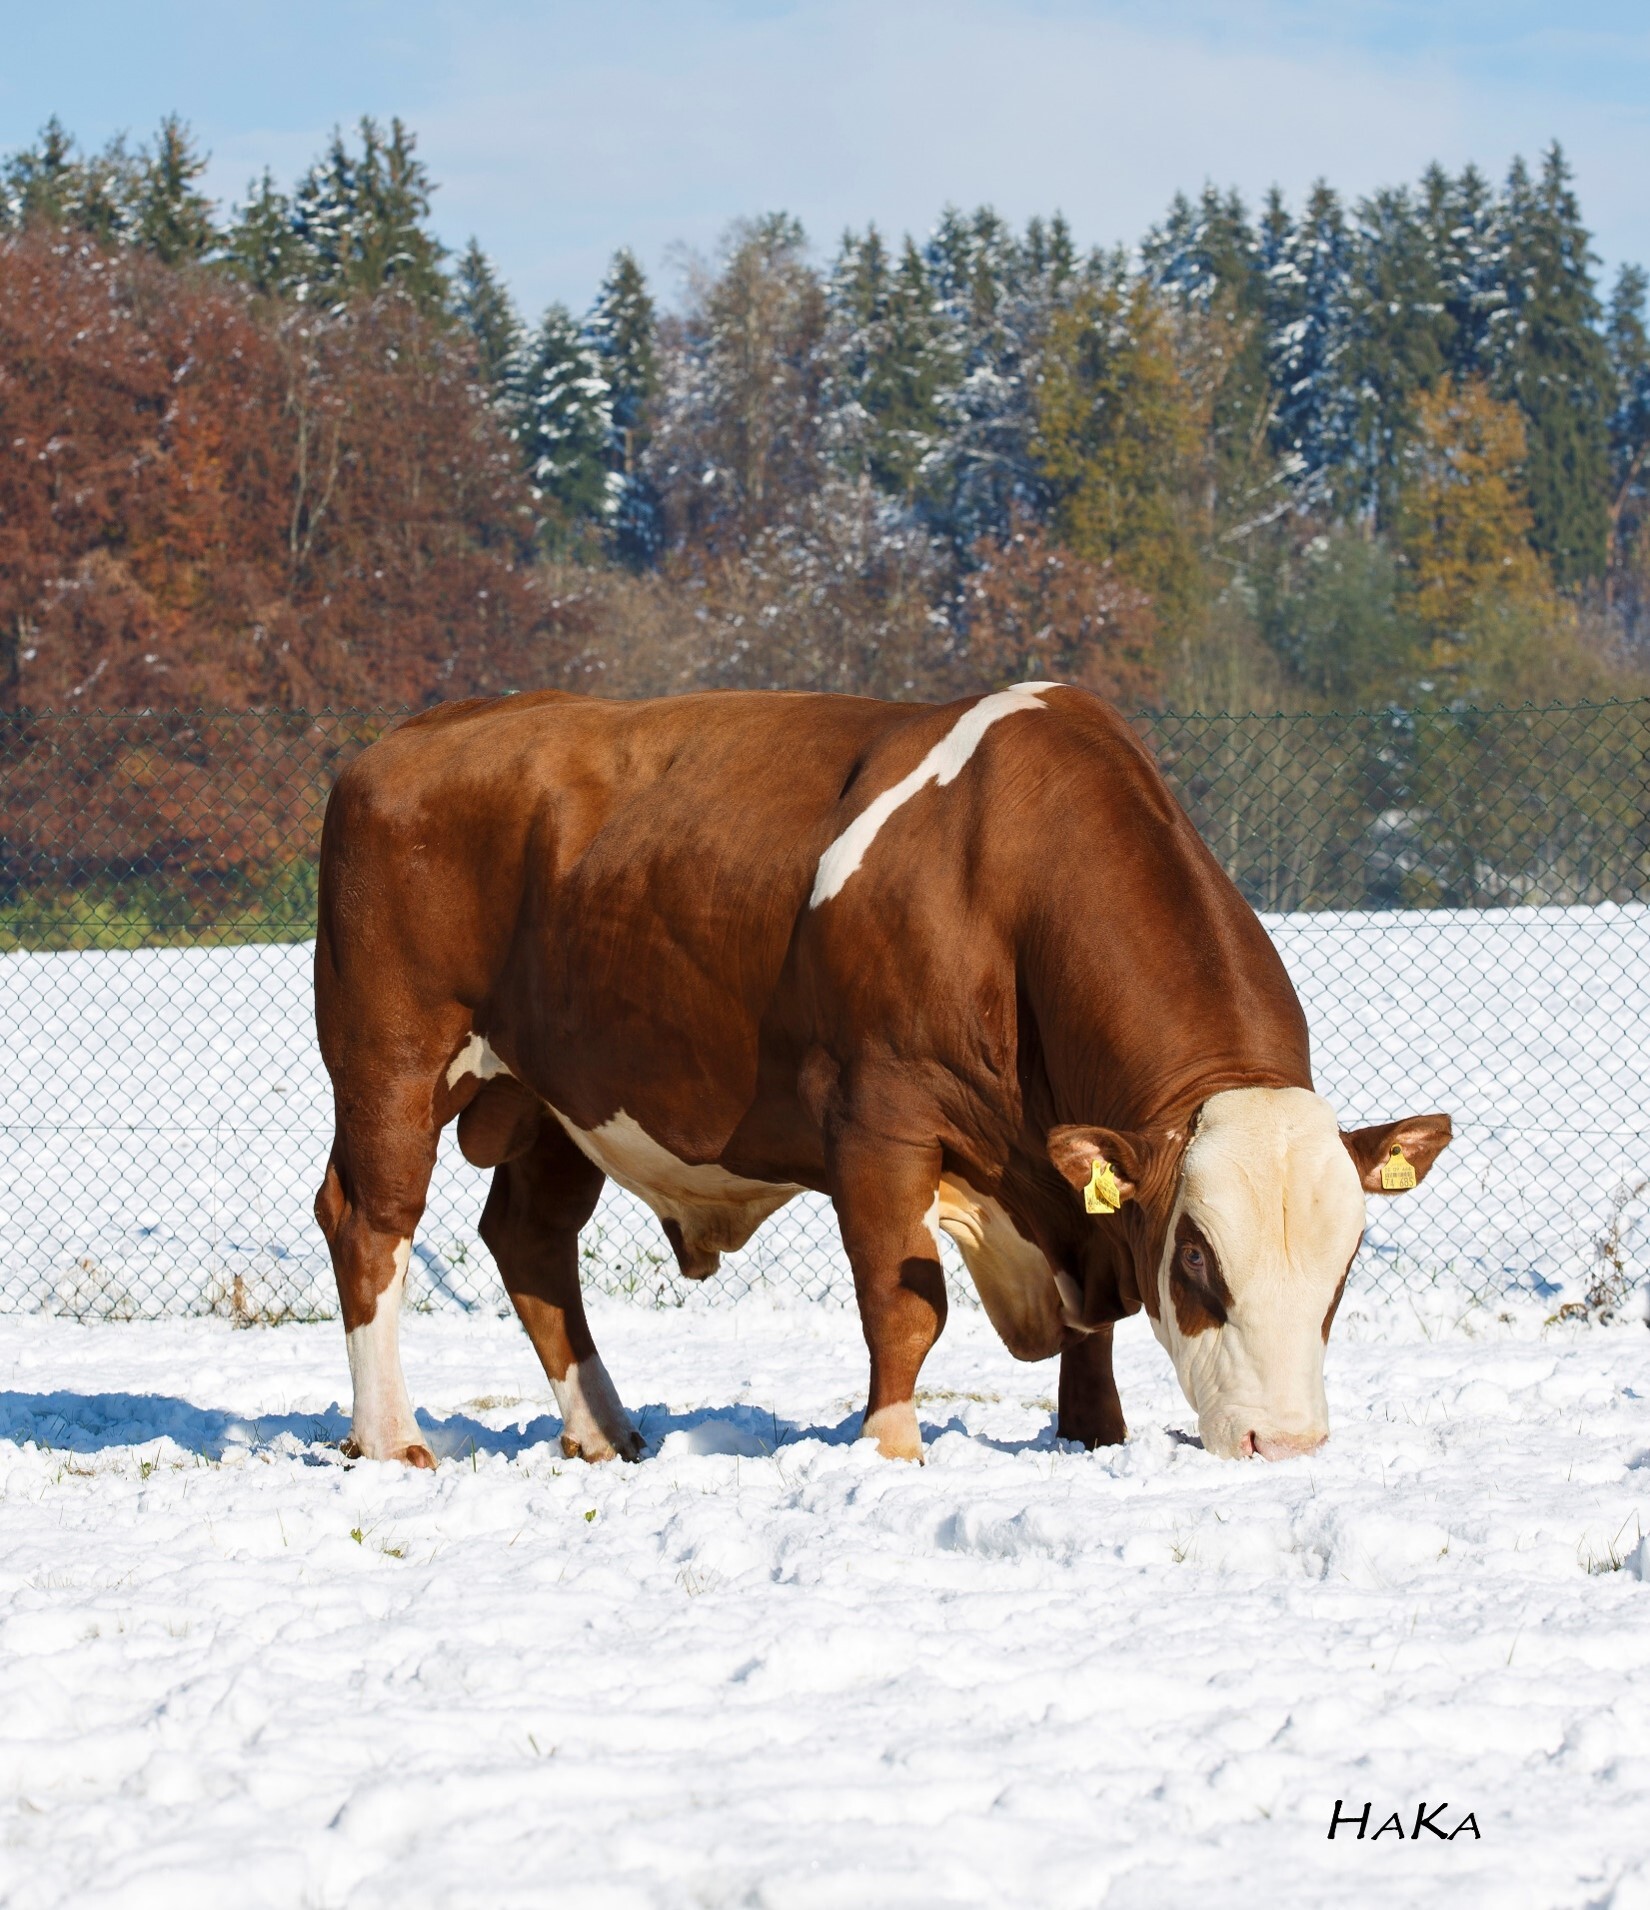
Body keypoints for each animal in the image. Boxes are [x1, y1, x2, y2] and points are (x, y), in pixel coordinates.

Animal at [309, 683, 1443, 1459]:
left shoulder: (1073, 1179)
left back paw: (604, 1431)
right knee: (372, 1225)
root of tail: (408, 740)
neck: (1007, 891)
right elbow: (908, 1303)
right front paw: (891, 1445)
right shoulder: (878, 1119)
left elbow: (1096, 1323)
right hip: (391, 1060)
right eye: (1200, 1256)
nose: (1283, 1442)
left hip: (560, 1100)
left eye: (1345, 1261)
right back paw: (393, 1436)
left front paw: (1094, 1434)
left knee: (531, 1239)